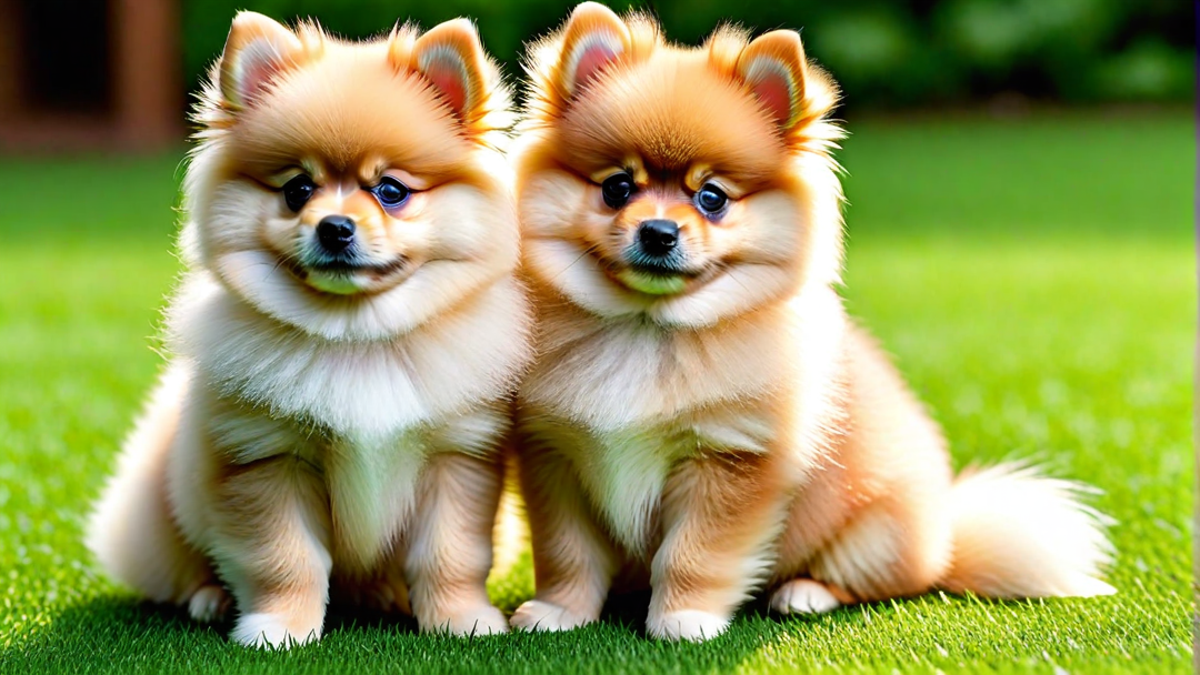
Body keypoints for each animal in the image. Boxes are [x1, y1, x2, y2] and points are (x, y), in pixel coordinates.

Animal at [87, 13, 532, 643]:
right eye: (297, 189)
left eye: (390, 190)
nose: (335, 227)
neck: (357, 338)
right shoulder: (265, 457)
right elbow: (286, 557)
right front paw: (277, 629)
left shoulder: (458, 457)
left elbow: (449, 554)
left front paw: (461, 620)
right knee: (184, 567)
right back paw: (210, 600)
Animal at [508, 2, 1113, 638]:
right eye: (617, 188)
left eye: (712, 198)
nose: (658, 231)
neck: (646, 328)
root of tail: (948, 539)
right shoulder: (556, 458)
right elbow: (567, 552)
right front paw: (559, 612)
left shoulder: (733, 462)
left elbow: (694, 553)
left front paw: (684, 620)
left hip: (877, 532)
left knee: (875, 584)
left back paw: (804, 593)